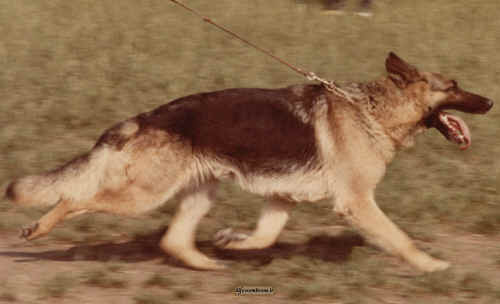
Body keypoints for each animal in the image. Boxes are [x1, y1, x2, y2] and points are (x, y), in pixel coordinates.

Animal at [6, 51, 492, 270]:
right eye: (453, 86)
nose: (489, 101)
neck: (373, 110)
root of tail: (144, 117)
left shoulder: (282, 198)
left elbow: (263, 237)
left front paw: (233, 242)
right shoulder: (357, 202)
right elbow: (400, 238)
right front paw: (431, 266)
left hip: (197, 192)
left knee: (173, 240)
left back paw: (211, 263)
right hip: (143, 196)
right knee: (73, 199)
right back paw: (38, 230)